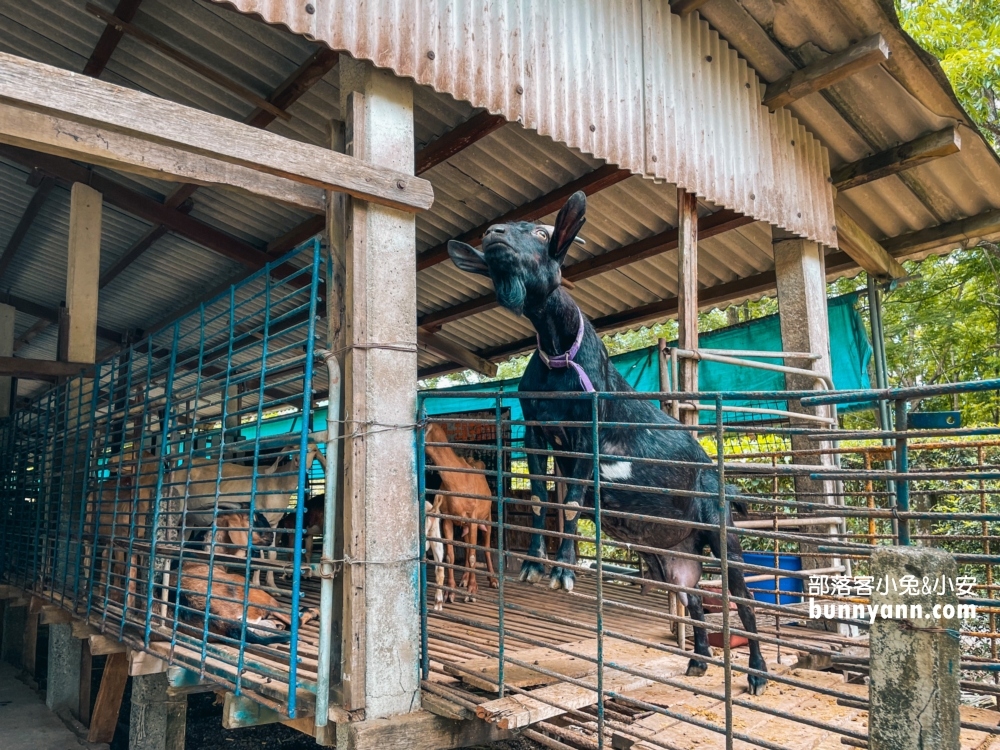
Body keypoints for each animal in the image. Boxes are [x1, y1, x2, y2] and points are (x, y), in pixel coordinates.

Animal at [424, 426, 498, 604]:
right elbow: (450, 556)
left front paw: (472, 590)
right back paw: (464, 578)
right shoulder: (447, 518)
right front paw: (449, 592)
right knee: (466, 546)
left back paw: (492, 580)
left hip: (488, 517)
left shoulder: (473, 517)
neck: (457, 479)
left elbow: (473, 555)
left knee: (485, 547)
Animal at [446, 191, 764, 696]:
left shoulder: (586, 432)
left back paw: (756, 675)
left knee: (745, 598)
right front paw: (534, 564)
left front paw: (563, 570)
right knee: (692, 597)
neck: (560, 355)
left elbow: (574, 500)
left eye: (541, 232)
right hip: (672, 555)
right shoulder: (537, 429)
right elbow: (541, 497)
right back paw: (698, 662)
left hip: (720, 531)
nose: (492, 234)